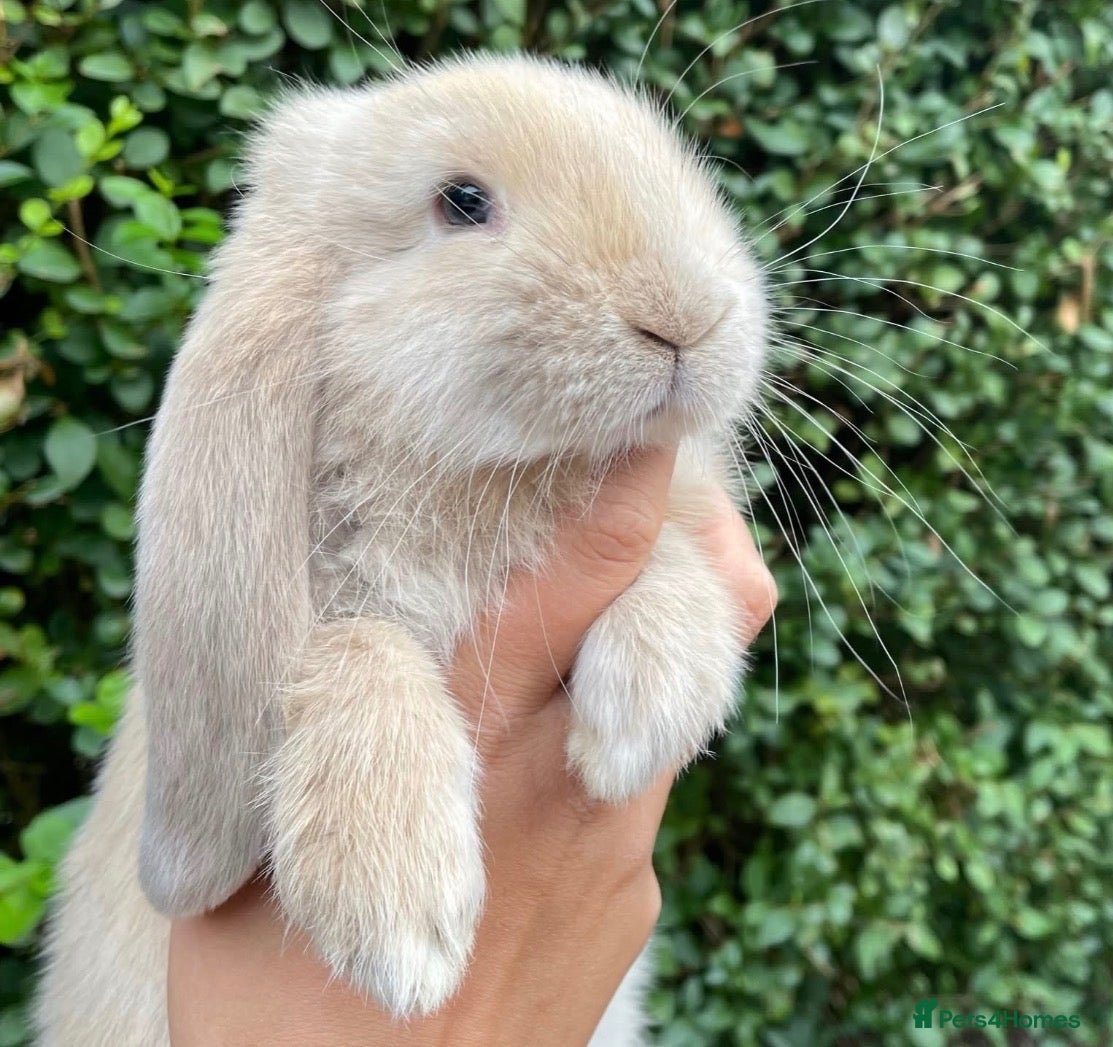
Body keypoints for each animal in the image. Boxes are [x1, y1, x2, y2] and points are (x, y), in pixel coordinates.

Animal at [33, 52, 768, 1046]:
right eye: (461, 201)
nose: (687, 317)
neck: (485, 485)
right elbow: (358, 642)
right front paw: (397, 919)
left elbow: (670, 555)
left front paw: (640, 717)